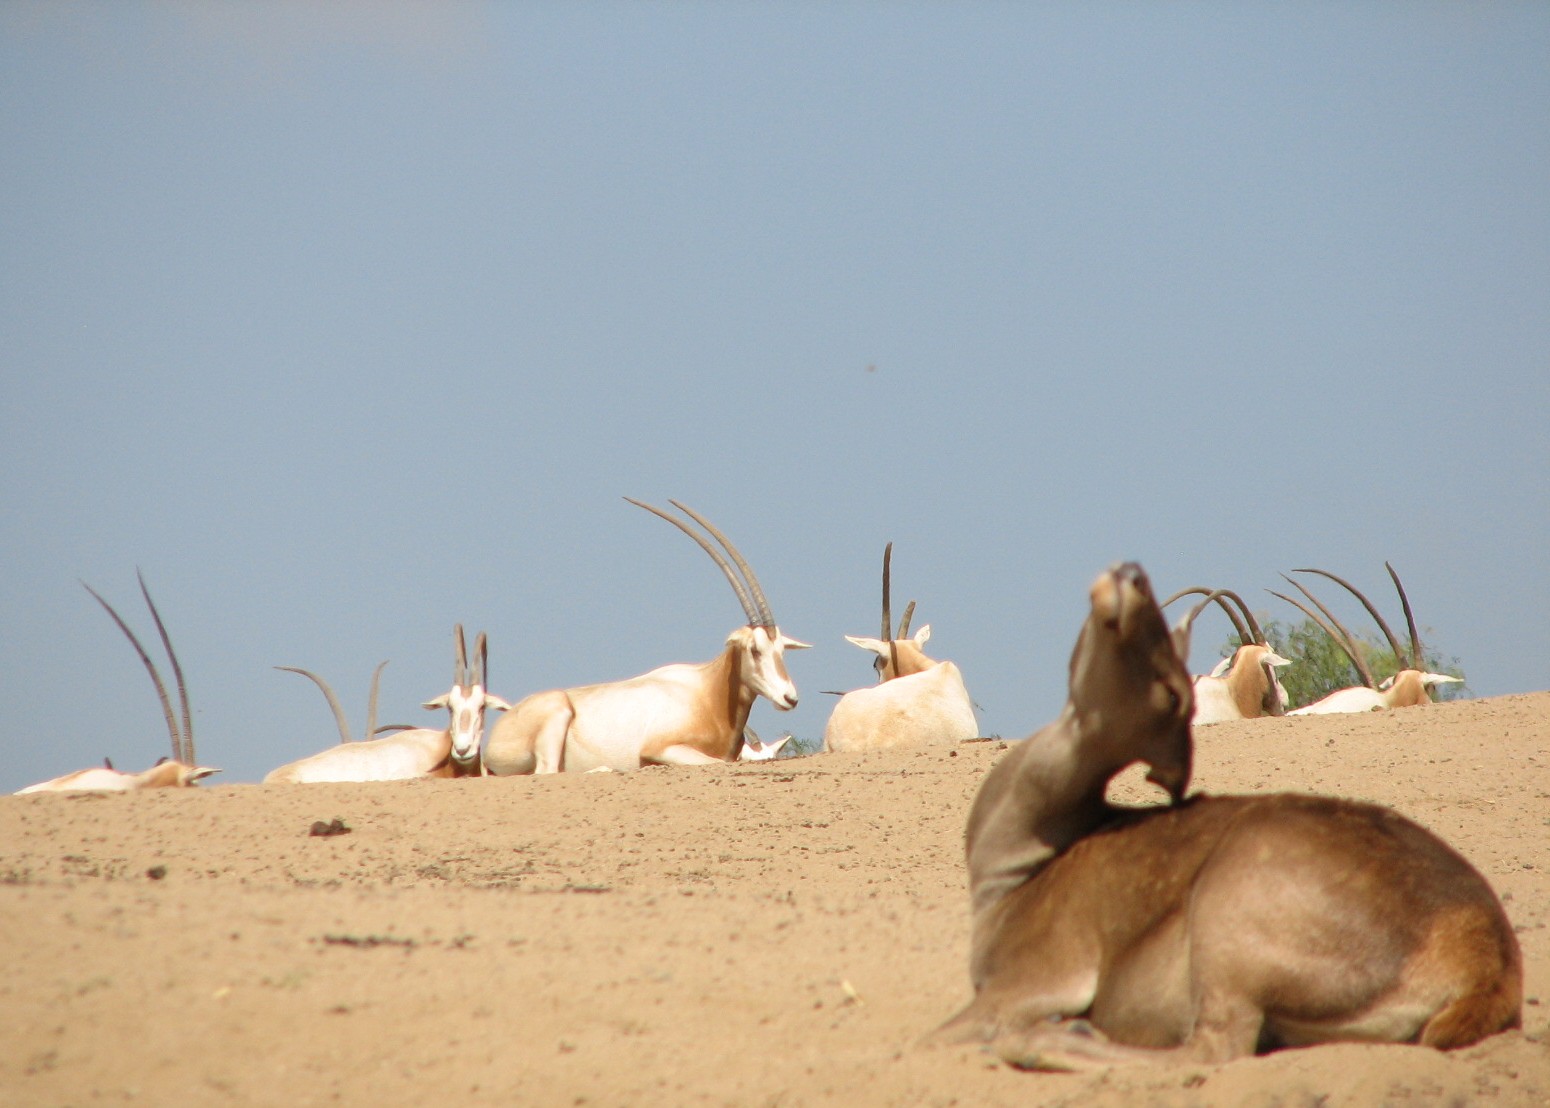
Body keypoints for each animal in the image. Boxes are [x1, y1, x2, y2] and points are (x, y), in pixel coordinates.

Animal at [483, 499, 810, 774]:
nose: (790, 698)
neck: (709, 694)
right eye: (755, 649)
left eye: (781, 650)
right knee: (548, 771)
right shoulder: (662, 748)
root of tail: (492, 739)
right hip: (557, 711)